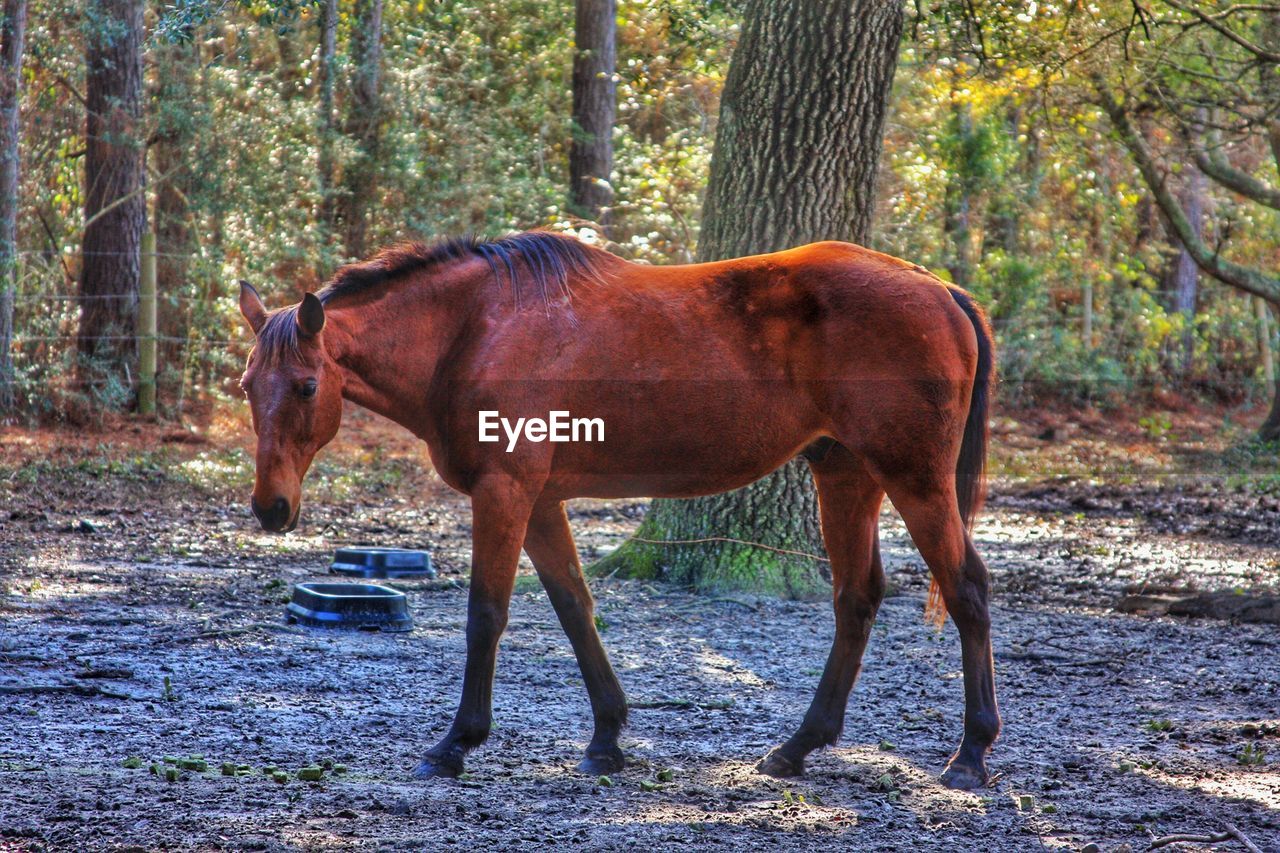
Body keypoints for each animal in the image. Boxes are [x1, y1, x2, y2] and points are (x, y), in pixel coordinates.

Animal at [240, 229, 998, 788]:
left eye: (306, 386)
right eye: (248, 384)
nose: (272, 507)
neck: (473, 331)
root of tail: (939, 288)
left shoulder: (505, 492)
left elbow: (486, 615)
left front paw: (456, 743)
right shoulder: (541, 501)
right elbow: (575, 607)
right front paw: (606, 737)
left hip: (915, 479)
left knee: (965, 590)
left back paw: (970, 755)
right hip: (847, 474)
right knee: (856, 599)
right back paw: (797, 747)